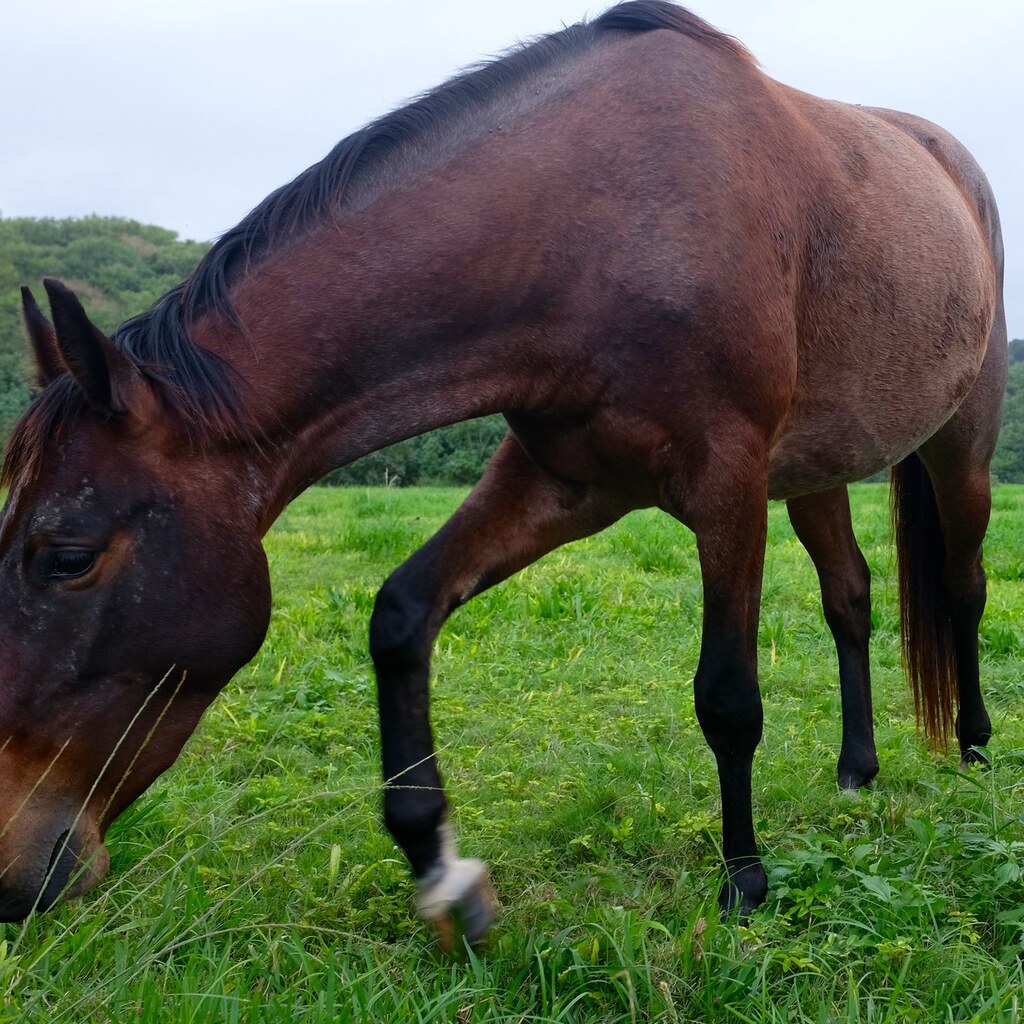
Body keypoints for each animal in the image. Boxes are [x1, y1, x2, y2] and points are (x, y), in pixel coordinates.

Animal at [0, 0, 1006, 946]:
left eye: (67, 557)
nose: (11, 867)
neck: (601, 223)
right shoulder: (562, 482)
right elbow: (402, 614)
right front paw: (442, 870)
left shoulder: (727, 483)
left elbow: (727, 698)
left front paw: (744, 886)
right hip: (816, 473)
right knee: (850, 597)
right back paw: (856, 772)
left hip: (962, 444)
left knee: (961, 589)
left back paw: (976, 753)